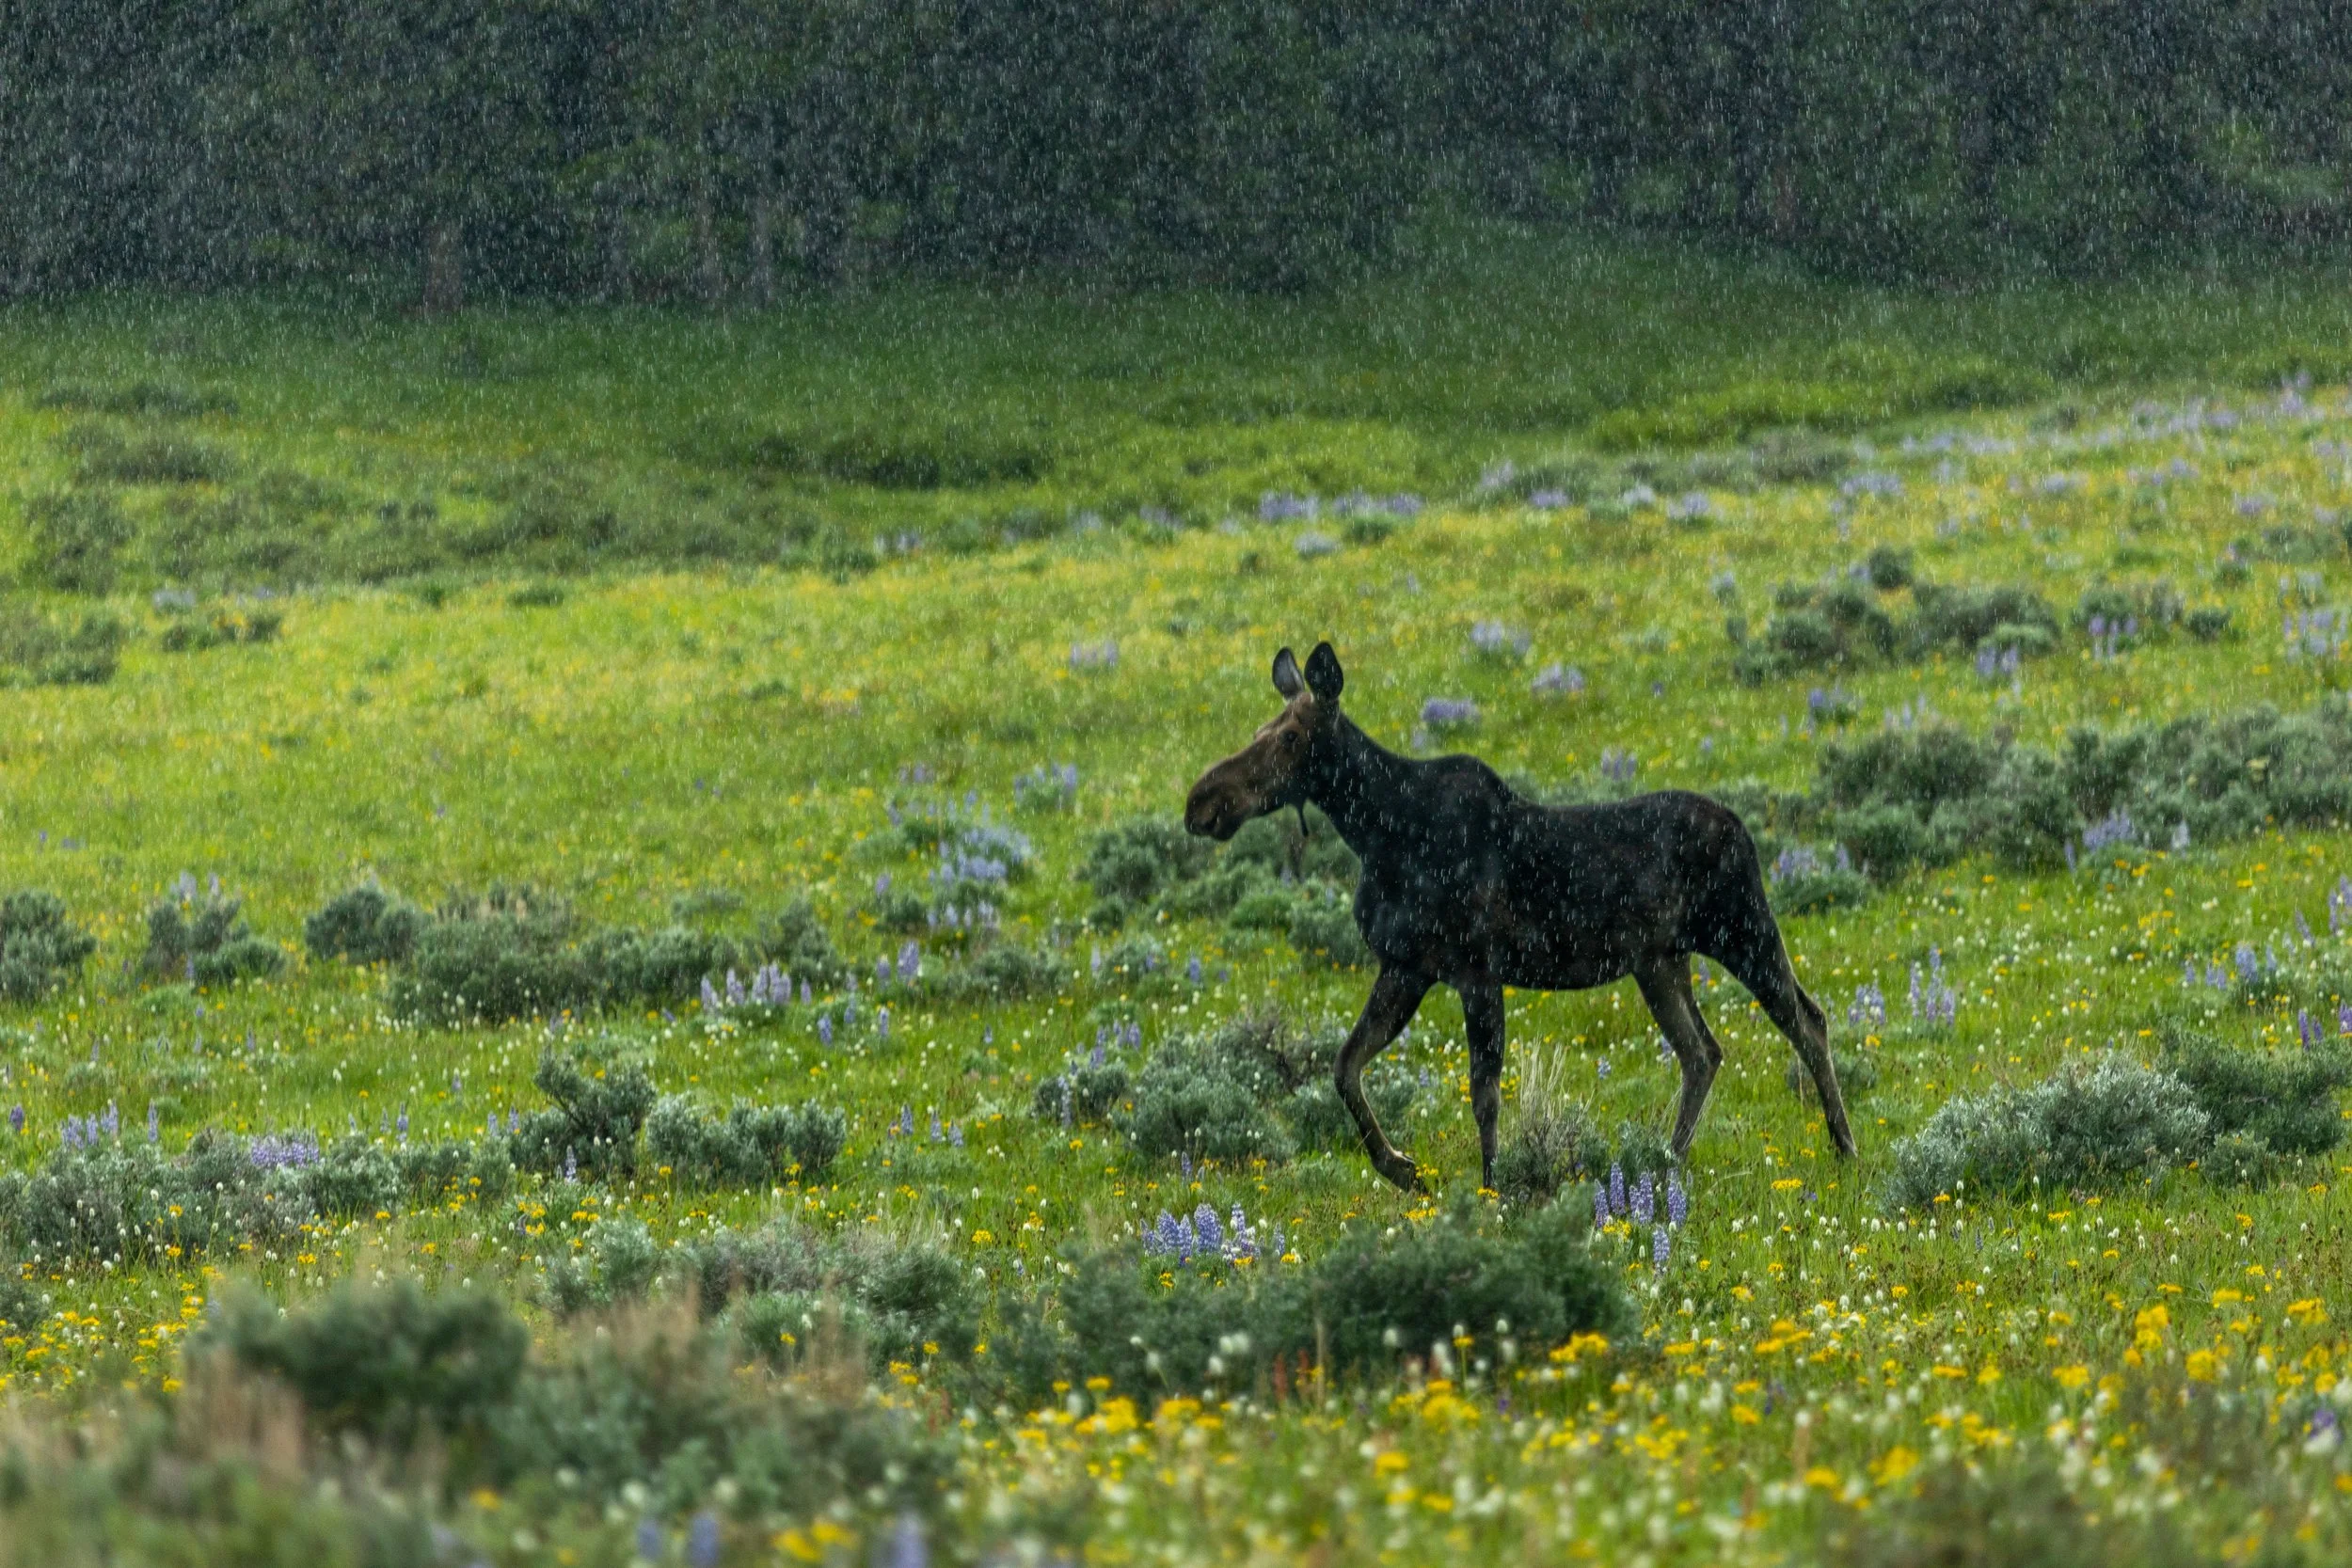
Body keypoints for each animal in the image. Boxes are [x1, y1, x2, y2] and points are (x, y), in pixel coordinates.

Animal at [1183, 641, 1854, 1192]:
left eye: (1291, 737)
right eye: (1262, 728)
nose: (1201, 802)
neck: (1377, 832)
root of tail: (1743, 829)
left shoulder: (1477, 970)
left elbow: (1483, 1094)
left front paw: (1492, 1186)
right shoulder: (1406, 966)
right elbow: (1345, 1065)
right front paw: (1401, 1169)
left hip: (1742, 927)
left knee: (1806, 1019)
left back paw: (1844, 1146)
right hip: (1660, 961)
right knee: (1703, 1051)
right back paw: (1669, 1160)